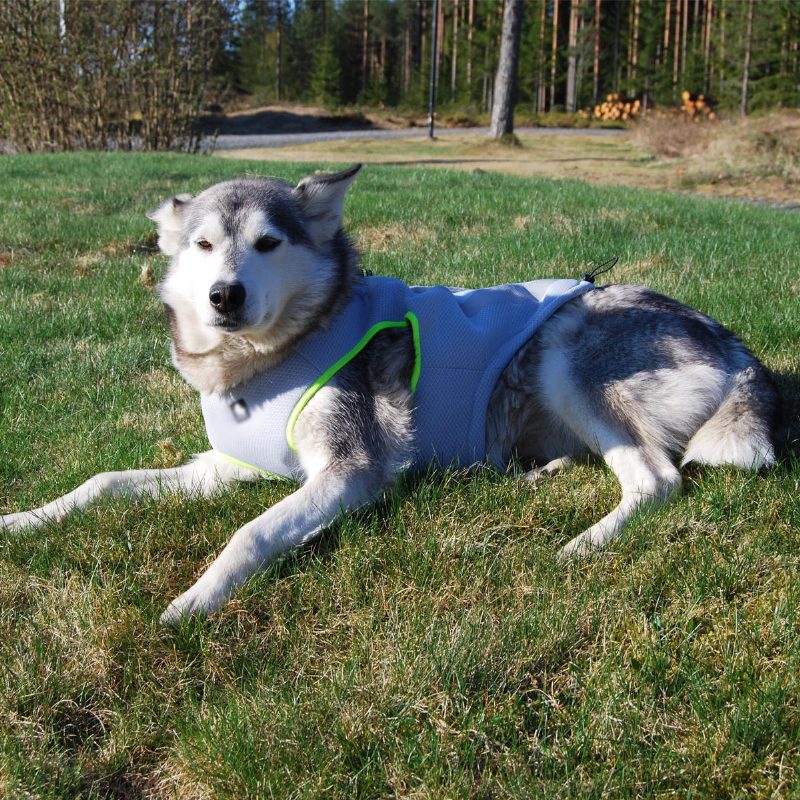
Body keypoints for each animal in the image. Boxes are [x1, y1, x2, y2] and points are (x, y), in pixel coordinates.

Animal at [0, 164, 776, 624]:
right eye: (202, 246)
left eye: (269, 242)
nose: (225, 295)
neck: (263, 365)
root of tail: (731, 341)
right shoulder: (221, 467)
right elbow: (105, 481)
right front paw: (25, 520)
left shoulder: (351, 470)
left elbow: (251, 532)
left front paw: (197, 599)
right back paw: (542, 473)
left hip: (566, 351)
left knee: (655, 478)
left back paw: (584, 542)